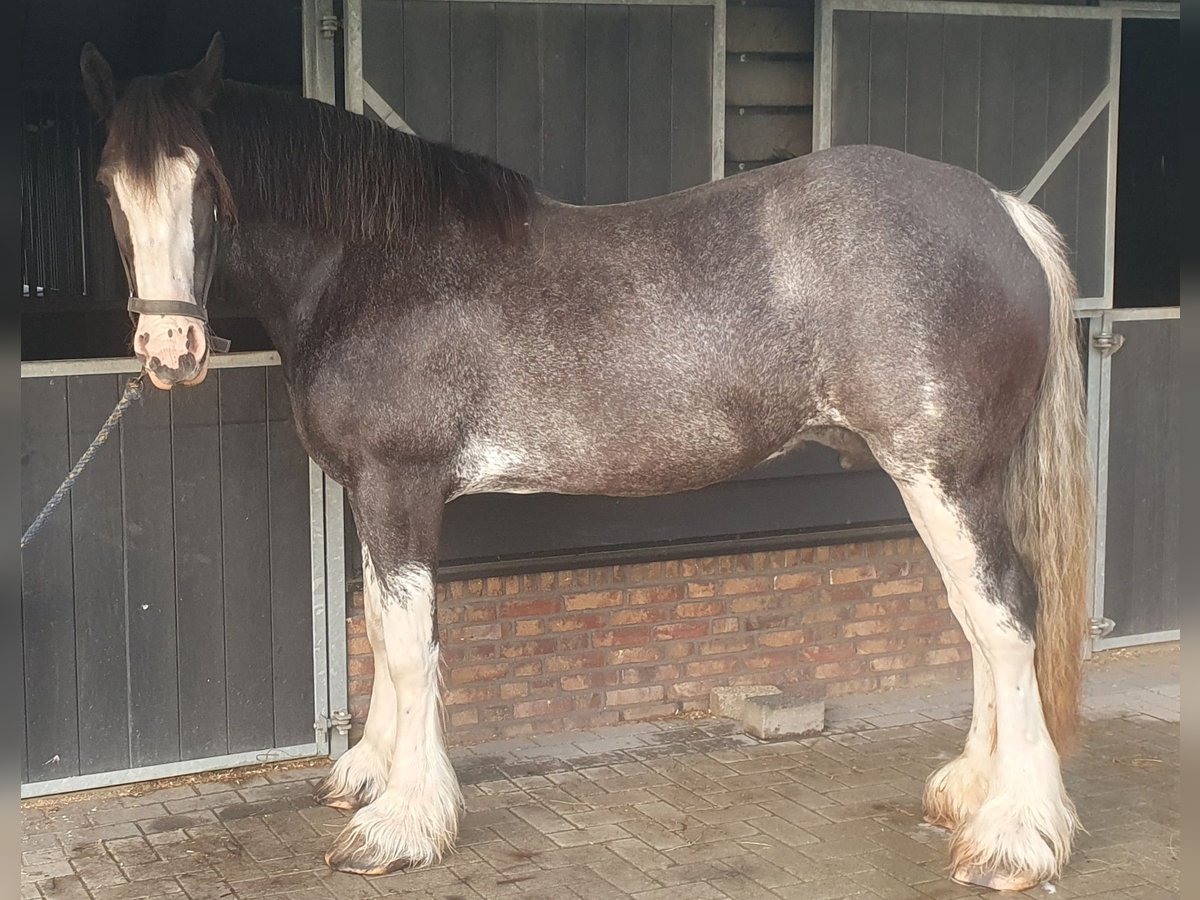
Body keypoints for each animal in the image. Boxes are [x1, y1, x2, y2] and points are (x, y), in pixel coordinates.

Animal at [82, 37, 1099, 897]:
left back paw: (1017, 835)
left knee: (1008, 618)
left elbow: (409, 647)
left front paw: (402, 824)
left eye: (206, 180)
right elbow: (378, 624)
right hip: (942, 484)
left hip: (947, 478)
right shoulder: (377, 498)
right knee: (978, 619)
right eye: (107, 184)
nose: (170, 349)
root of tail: (1001, 211)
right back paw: (969, 789)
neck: (374, 267)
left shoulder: (399, 489)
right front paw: (371, 774)